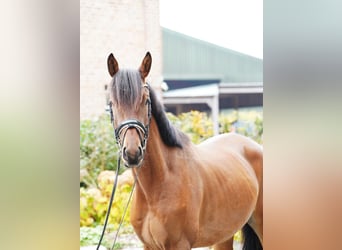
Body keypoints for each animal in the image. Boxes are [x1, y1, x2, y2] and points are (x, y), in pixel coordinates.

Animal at [108, 51, 264, 249]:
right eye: (112, 103)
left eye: (145, 101)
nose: (132, 153)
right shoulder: (149, 245)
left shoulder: (180, 244)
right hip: (224, 235)